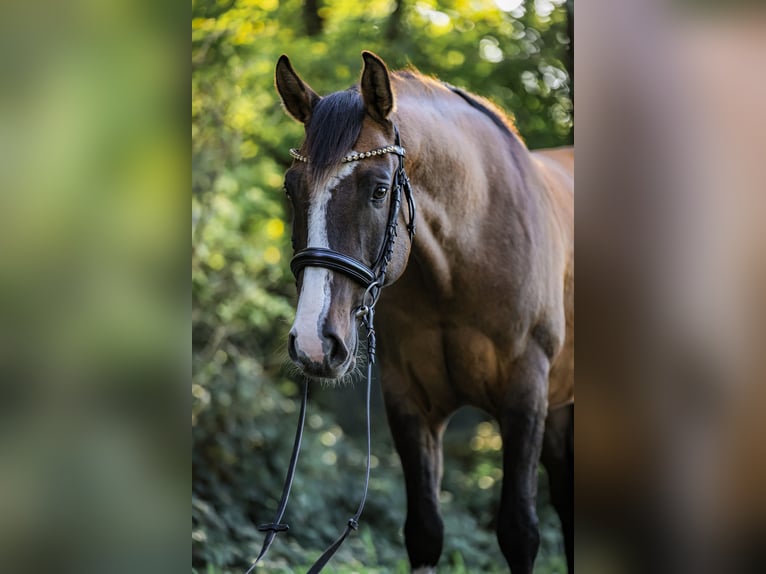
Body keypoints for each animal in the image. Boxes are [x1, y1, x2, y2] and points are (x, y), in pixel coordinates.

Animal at [275, 51, 574, 574]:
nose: (313, 342)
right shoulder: (410, 402)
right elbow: (424, 531)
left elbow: (519, 531)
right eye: (292, 189)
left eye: (378, 190)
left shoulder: (525, 395)